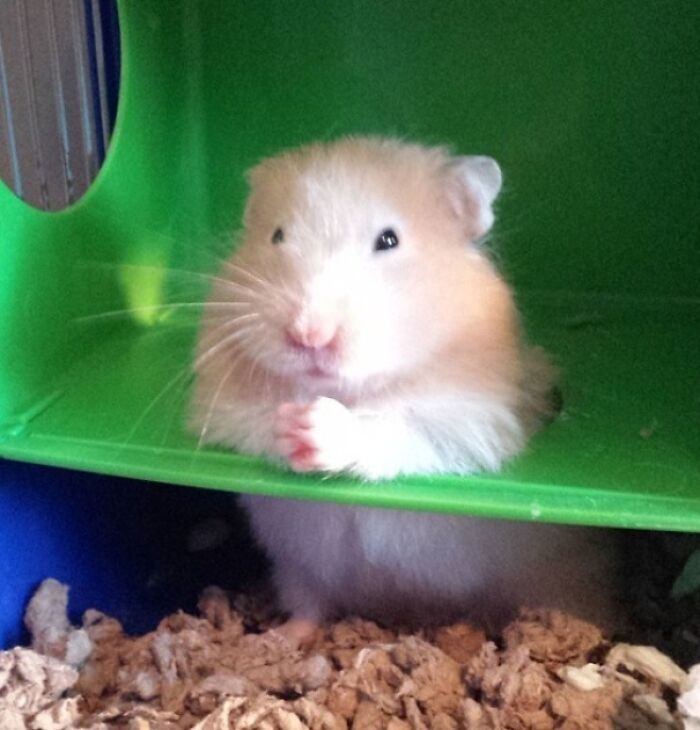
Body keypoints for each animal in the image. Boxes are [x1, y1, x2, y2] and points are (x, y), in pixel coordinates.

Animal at [190, 137, 617, 638]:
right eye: (276, 236)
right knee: (309, 606)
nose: (309, 335)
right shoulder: (221, 412)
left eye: (388, 240)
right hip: (296, 568)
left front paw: (317, 426)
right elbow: (254, 425)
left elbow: (394, 429)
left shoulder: (472, 425)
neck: (352, 390)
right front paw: (291, 421)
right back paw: (282, 637)